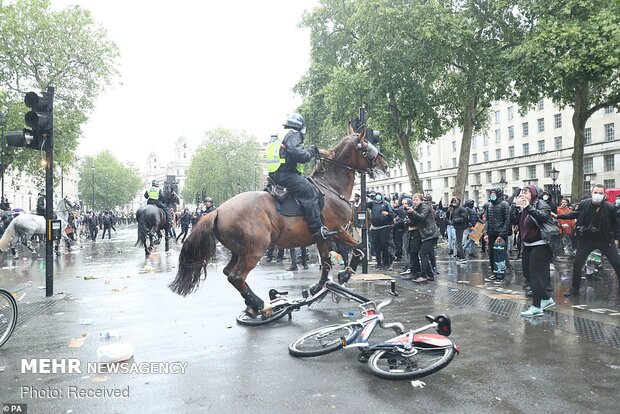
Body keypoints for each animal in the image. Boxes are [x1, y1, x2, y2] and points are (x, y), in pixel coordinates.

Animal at [167, 124, 386, 316]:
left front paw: (318, 287)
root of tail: (218, 210)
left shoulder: (323, 236)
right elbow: (359, 247)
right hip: (255, 249)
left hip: (239, 251)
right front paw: (345, 274)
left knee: (229, 273)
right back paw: (259, 304)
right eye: (366, 145)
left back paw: (253, 305)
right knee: (236, 276)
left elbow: (326, 262)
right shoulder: (337, 229)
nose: (384, 163)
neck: (331, 186)